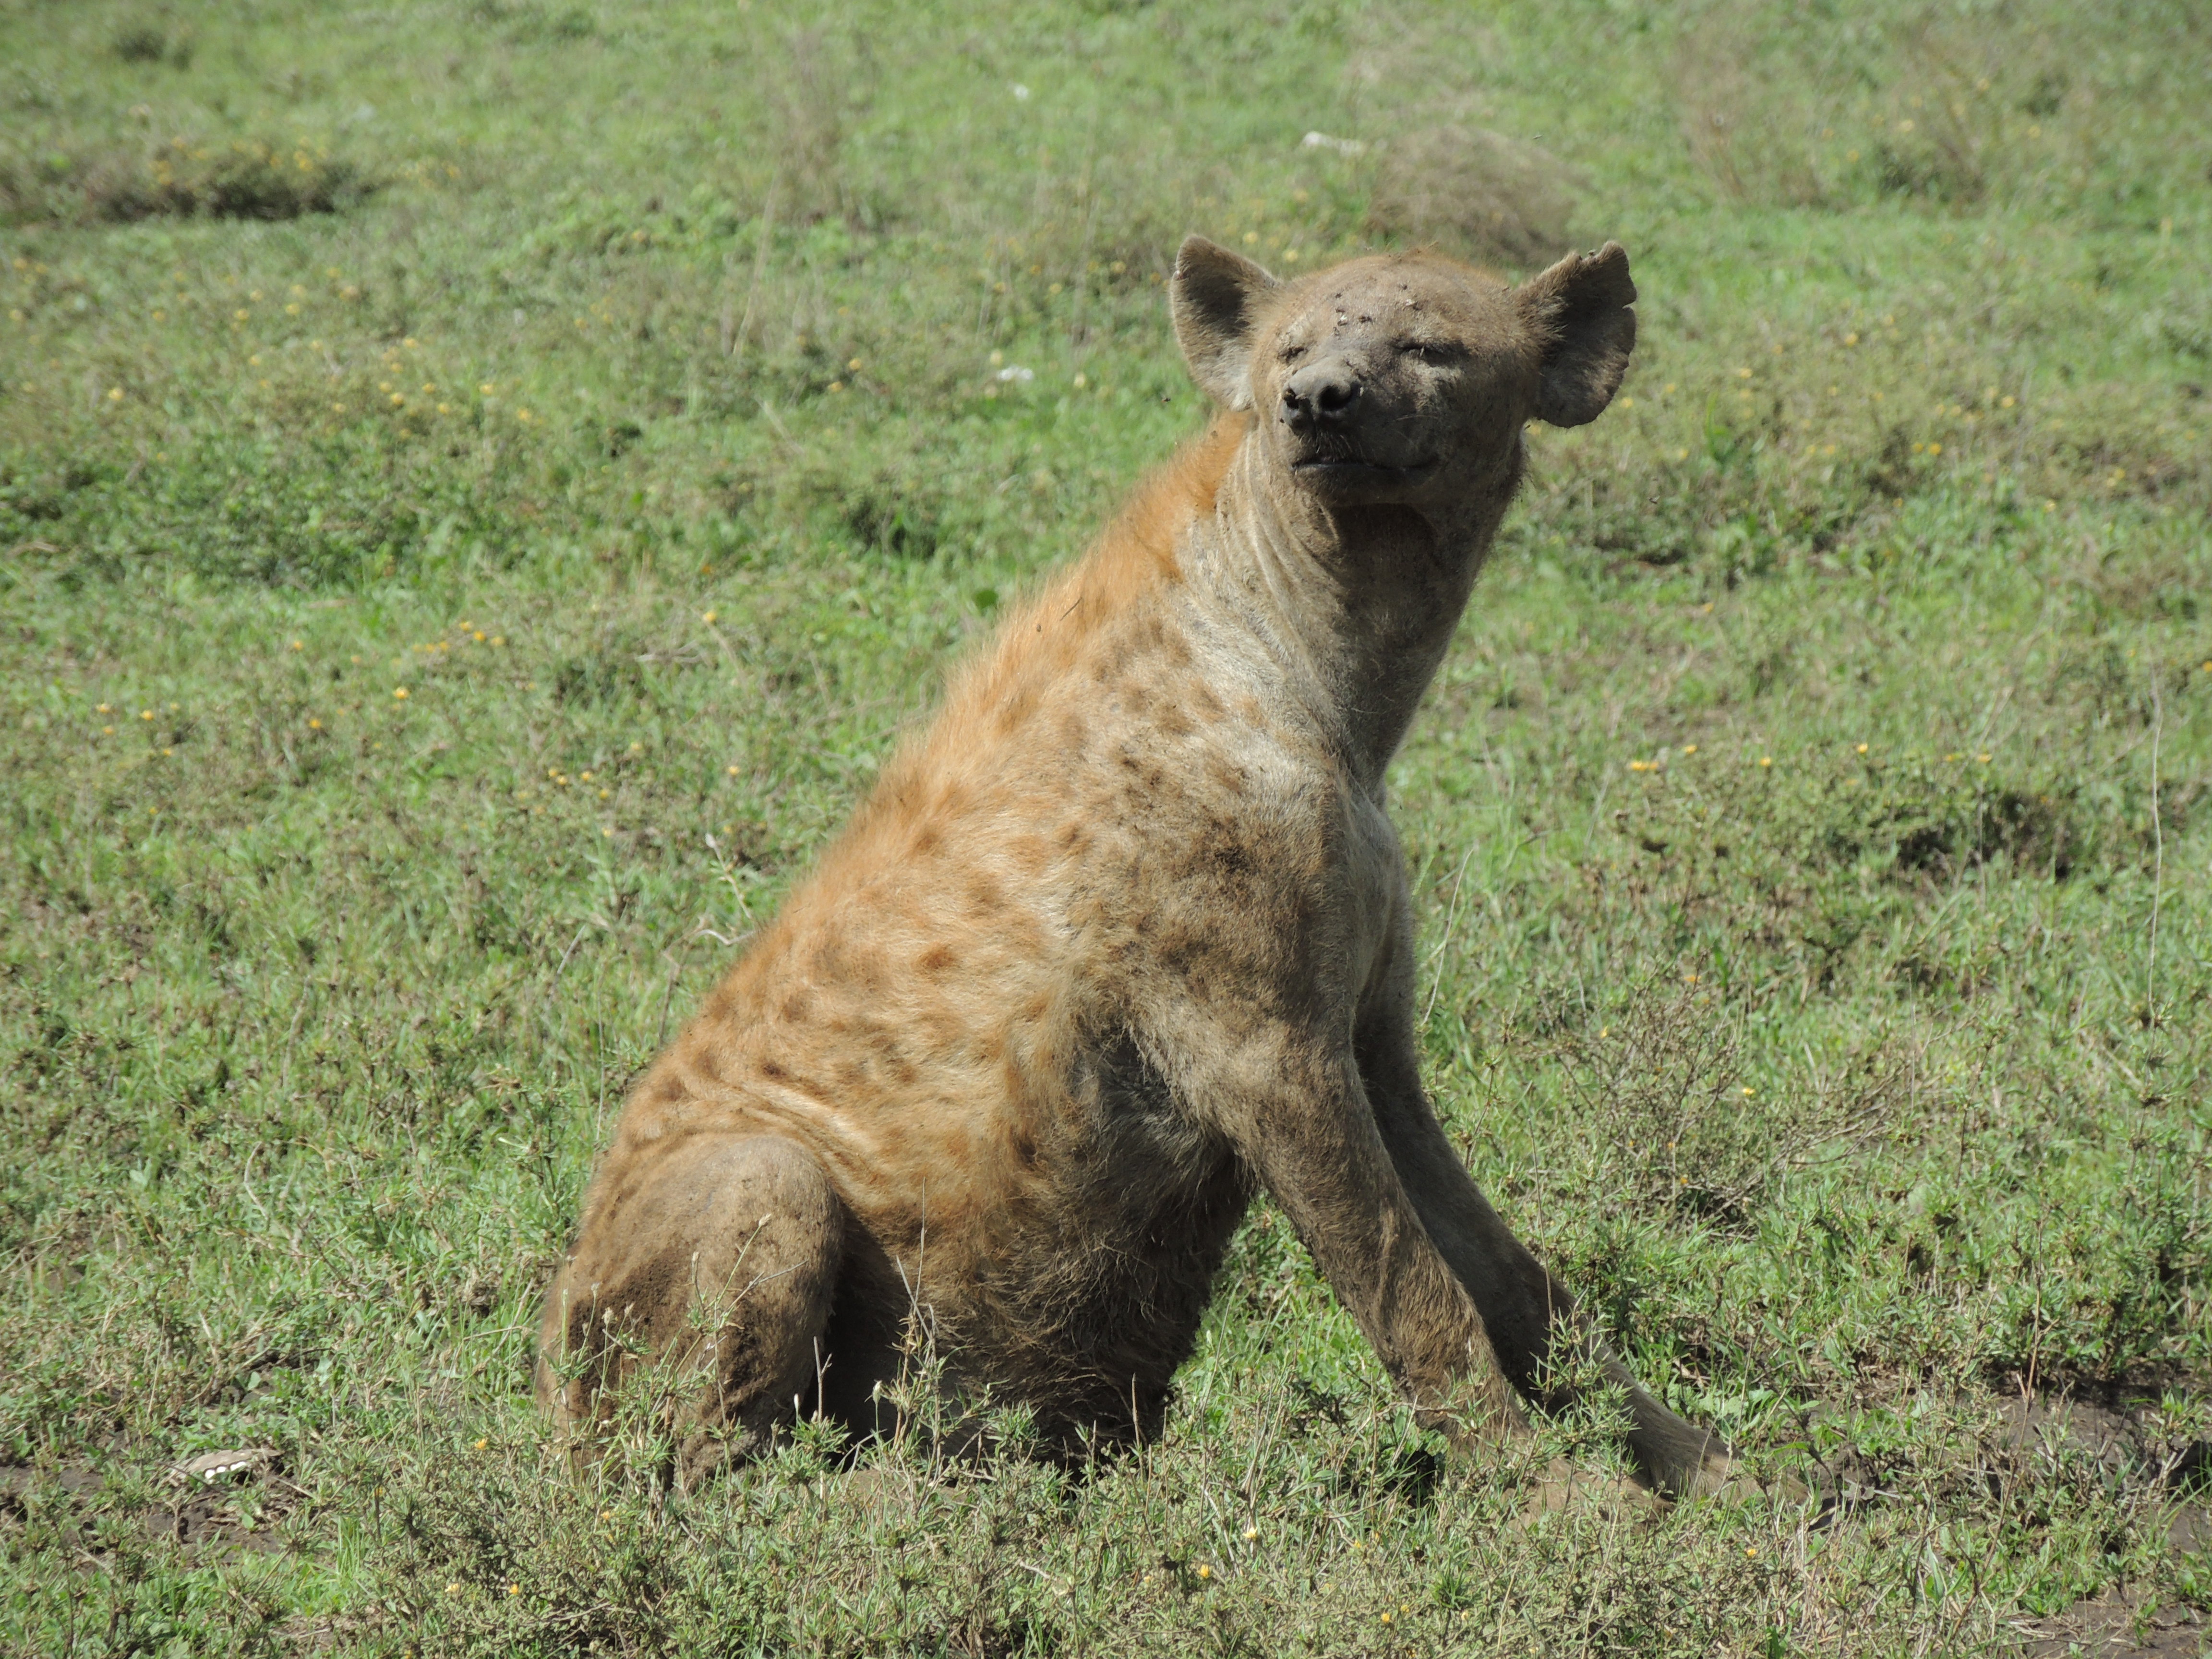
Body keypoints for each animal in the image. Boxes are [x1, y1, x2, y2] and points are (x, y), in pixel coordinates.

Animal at [538, 234, 1740, 1500]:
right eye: (1290, 351)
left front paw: (1703, 1467)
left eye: (1430, 347)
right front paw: (1565, 1498)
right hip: (735, 1208)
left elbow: (1508, 1270)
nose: (1320, 401)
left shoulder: (1369, 1029)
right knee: (706, 1453)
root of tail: (544, 1386)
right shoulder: (1253, 1031)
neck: (1335, 685)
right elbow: (1408, 1282)